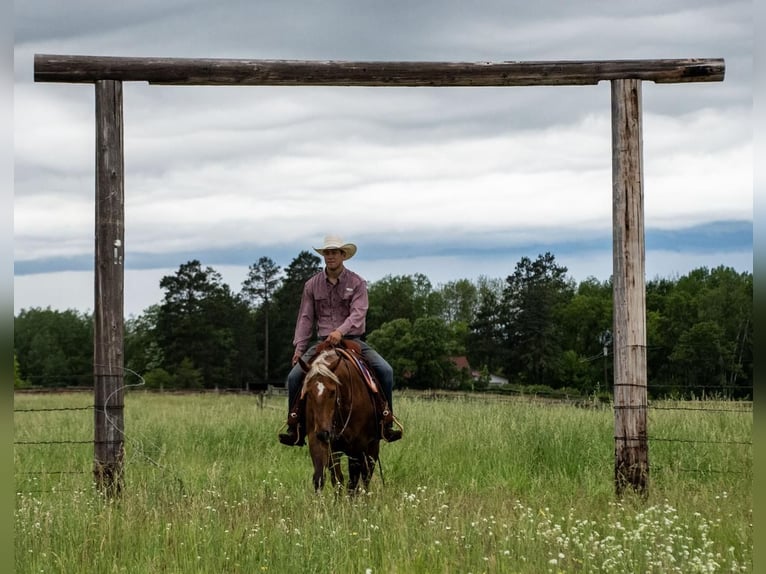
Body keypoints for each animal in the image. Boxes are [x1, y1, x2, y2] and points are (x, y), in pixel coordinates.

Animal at [300, 344, 384, 492]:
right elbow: (331, 479)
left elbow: (353, 483)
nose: (323, 433)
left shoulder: (358, 447)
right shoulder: (324, 444)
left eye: (333, 392)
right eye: (308, 392)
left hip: (372, 447)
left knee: (366, 476)